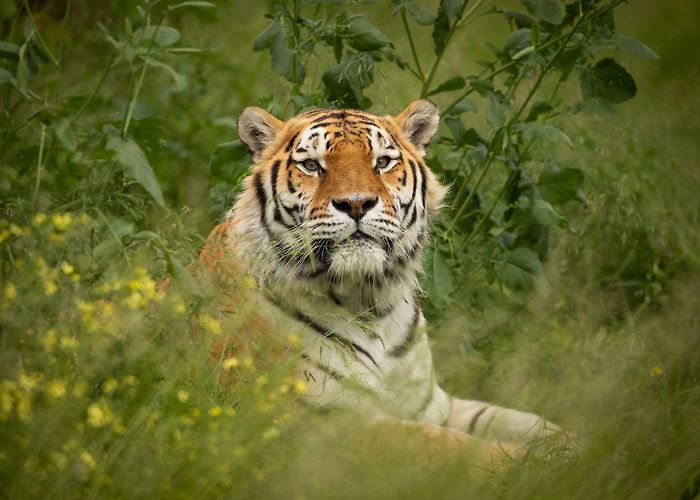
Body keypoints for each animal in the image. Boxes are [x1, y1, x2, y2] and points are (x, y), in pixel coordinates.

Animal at [196, 99, 561, 463]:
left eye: (382, 162)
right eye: (312, 165)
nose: (356, 203)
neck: (371, 301)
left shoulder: (433, 405)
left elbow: (516, 420)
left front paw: (566, 445)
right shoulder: (325, 422)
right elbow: (449, 445)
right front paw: (530, 461)